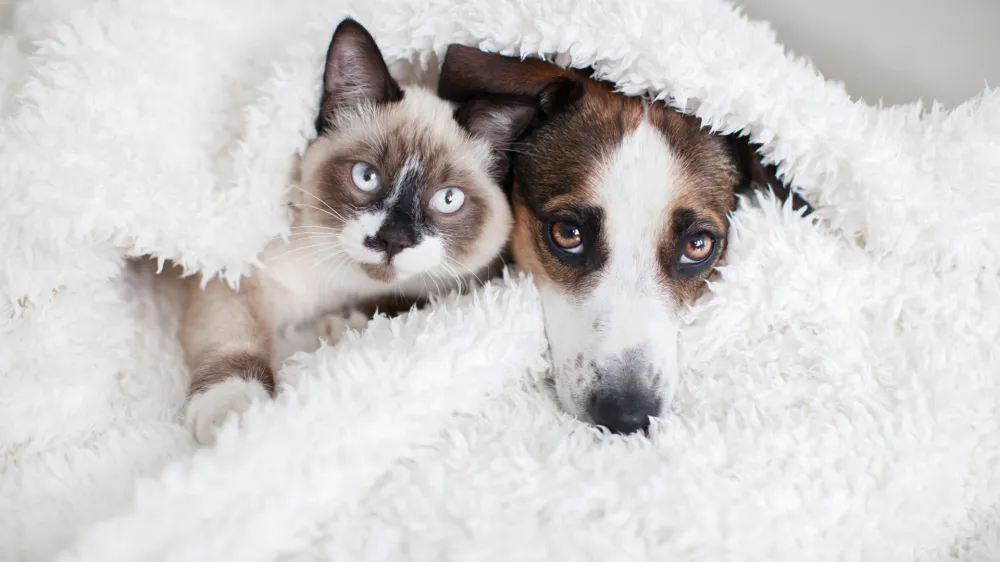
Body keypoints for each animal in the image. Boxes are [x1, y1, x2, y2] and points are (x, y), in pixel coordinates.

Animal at [180, 19, 540, 444]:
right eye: (366, 176)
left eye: (448, 199)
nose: (393, 240)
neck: (345, 287)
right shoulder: (237, 279)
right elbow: (234, 339)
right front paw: (233, 416)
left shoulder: (445, 289)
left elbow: (400, 304)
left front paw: (338, 326)